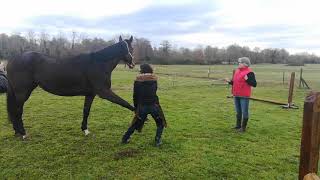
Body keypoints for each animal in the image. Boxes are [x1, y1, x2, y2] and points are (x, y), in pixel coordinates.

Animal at [7, 35, 135, 139]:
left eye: (131, 48)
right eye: (127, 48)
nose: (132, 64)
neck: (98, 63)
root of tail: (13, 59)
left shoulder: (90, 94)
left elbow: (86, 111)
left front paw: (85, 130)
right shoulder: (104, 92)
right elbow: (125, 103)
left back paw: (17, 132)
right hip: (22, 93)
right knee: (17, 111)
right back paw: (23, 133)